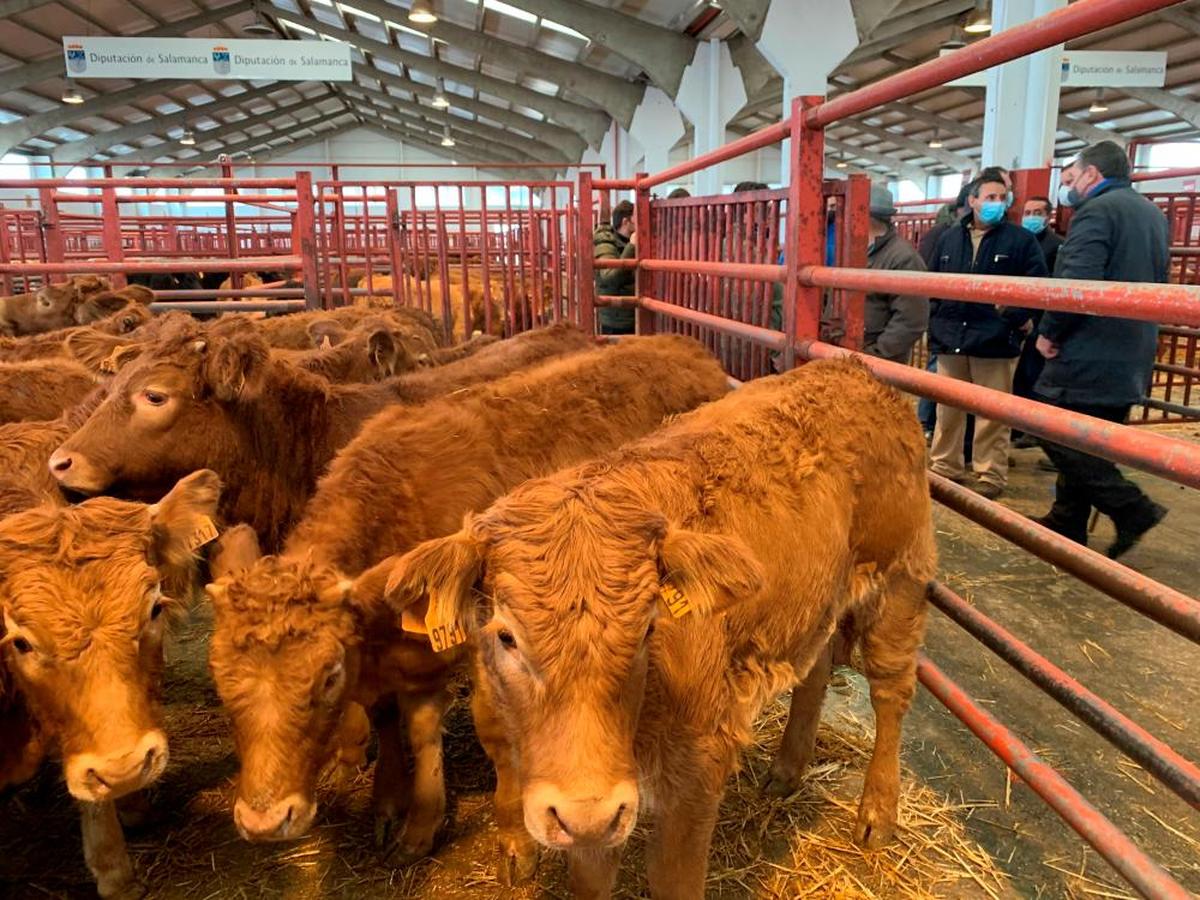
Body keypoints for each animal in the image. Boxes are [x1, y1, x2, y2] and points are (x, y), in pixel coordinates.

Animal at [207, 336, 724, 868]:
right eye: (219, 679)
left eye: (328, 676)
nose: (264, 820)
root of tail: (680, 344)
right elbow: (401, 724)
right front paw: (401, 810)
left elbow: (493, 728)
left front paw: (514, 838)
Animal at [384, 362, 936, 900]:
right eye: (505, 636)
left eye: (649, 630)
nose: (588, 812)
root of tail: (856, 372)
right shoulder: (591, 812)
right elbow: (590, 878)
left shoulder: (696, 770)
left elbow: (674, 879)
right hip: (814, 602)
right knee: (816, 669)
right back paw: (787, 769)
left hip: (900, 581)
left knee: (891, 691)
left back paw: (877, 813)